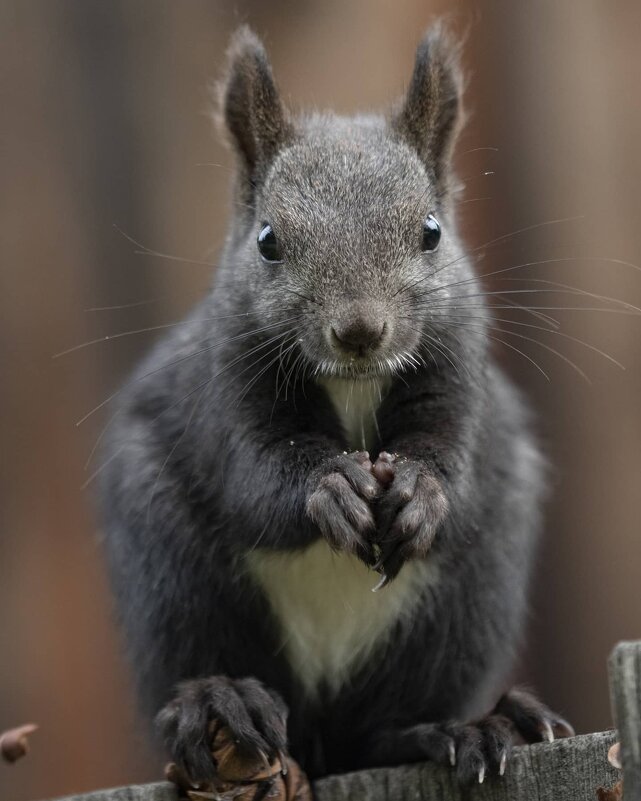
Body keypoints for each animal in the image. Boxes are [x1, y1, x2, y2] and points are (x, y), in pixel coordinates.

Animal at [101, 25, 576, 788]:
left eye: (431, 231)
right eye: (267, 240)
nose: (360, 330)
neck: (353, 380)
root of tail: (320, 737)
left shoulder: (460, 372)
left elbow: (455, 462)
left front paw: (422, 491)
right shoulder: (225, 389)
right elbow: (257, 474)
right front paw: (331, 486)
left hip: (465, 607)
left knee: (380, 729)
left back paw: (460, 727)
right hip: (171, 572)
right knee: (205, 663)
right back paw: (218, 700)